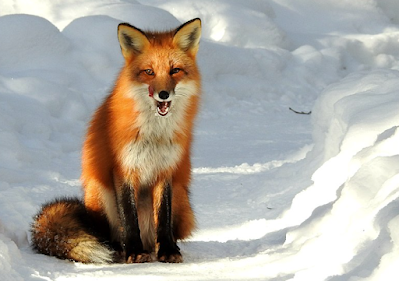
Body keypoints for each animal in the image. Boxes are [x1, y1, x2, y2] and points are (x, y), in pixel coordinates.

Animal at [30, 17, 203, 262]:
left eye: (175, 70)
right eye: (149, 72)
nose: (163, 94)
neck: (154, 134)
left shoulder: (165, 170)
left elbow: (163, 216)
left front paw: (168, 250)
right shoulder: (124, 168)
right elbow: (129, 217)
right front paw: (134, 251)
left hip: (181, 196)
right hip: (101, 193)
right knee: (110, 234)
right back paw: (120, 249)